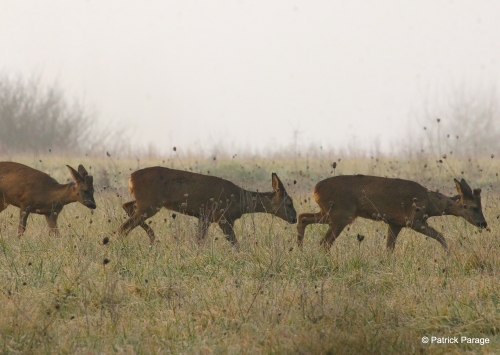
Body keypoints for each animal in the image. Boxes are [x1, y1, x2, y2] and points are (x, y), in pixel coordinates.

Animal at [117, 168, 296, 246]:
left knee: (127, 206)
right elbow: (234, 242)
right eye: (289, 203)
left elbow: (200, 239)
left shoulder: (205, 217)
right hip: (150, 203)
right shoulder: (221, 216)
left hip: (147, 202)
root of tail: (131, 177)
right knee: (123, 227)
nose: (294, 218)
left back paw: (152, 238)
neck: (240, 200)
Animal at [298, 176, 486, 253]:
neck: (430, 204)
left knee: (303, 217)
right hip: (341, 214)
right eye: (472, 207)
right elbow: (441, 236)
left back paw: (300, 249)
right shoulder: (413, 220)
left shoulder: (395, 223)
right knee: (324, 242)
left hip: (329, 212)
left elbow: (389, 248)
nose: (483, 223)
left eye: (480, 207)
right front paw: (448, 255)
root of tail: (315, 189)